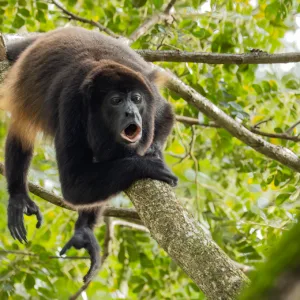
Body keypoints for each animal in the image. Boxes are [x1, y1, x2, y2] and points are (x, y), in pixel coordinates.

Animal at [0, 27, 177, 282]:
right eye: (116, 101)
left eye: (136, 99)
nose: (131, 112)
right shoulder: (71, 104)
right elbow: (74, 185)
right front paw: (149, 165)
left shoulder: (149, 92)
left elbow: (167, 114)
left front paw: (153, 149)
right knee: (22, 129)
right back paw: (18, 197)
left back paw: (83, 230)